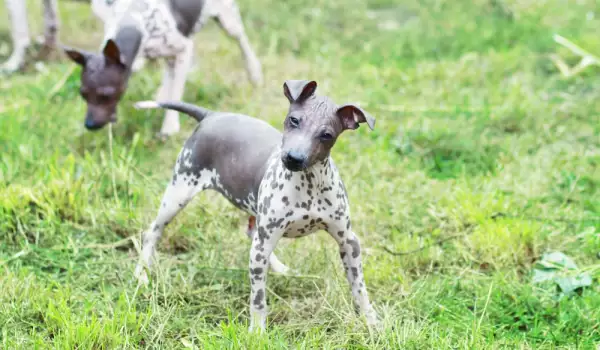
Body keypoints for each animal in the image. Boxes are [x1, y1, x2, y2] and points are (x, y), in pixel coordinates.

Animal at [135, 80, 378, 334]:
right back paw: (142, 274)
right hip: (179, 192)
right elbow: (258, 298)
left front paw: (371, 320)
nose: (293, 158)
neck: (309, 184)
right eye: (294, 120)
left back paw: (280, 268)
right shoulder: (265, 244)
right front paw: (258, 332)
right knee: (152, 232)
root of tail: (211, 115)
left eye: (326, 135)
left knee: (253, 236)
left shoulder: (348, 241)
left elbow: (359, 288)